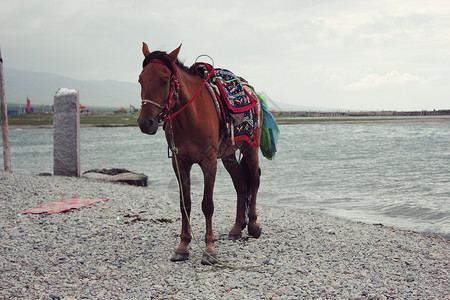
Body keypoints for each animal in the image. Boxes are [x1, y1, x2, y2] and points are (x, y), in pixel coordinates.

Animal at [139, 42, 262, 264]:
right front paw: (183, 246)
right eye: (140, 80)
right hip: (229, 155)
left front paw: (210, 249)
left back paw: (254, 226)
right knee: (241, 184)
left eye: (164, 80)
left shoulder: (209, 162)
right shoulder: (180, 163)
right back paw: (237, 227)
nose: (146, 123)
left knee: (254, 181)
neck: (191, 117)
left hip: (250, 148)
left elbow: (207, 205)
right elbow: (185, 204)